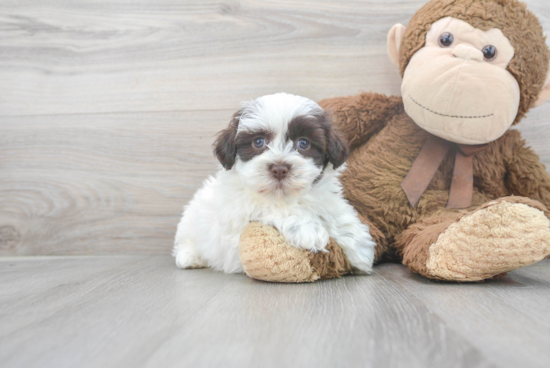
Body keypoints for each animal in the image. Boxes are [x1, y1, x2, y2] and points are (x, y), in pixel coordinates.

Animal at [175, 93, 378, 274]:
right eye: (258, 142)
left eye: (303, 143)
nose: (279, 169)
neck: (284, 195)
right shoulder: (238, 213)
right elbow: (273, 208)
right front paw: (308, 228)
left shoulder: (324, 197)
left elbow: (336, 212)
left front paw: (359, 245)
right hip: (189, 228)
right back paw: (191, 257)